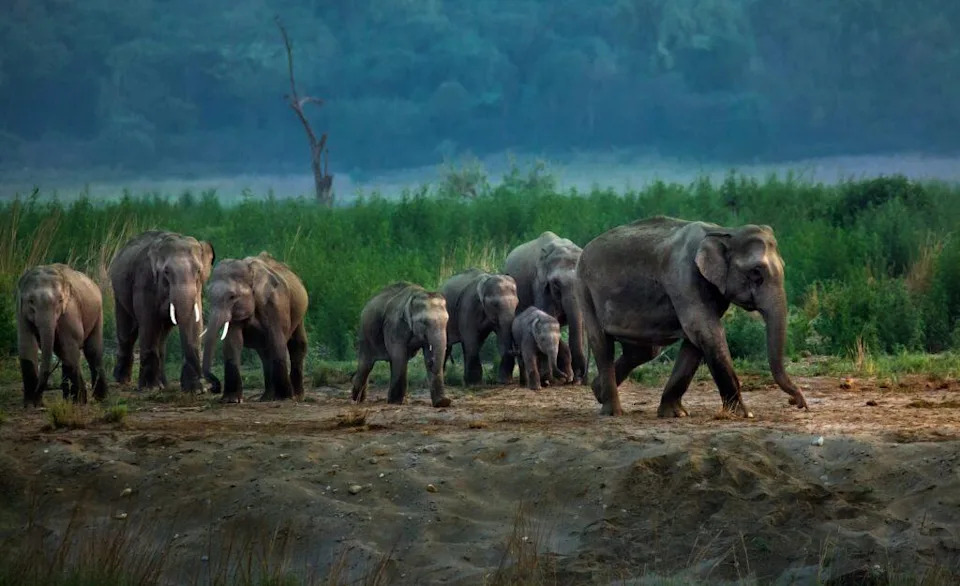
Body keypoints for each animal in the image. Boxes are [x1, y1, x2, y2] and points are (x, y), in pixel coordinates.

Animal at [16, 264, 107, 407]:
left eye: (60, 300)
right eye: (31, 301)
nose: (39, 399)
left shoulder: (70, 309)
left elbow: (70, 345)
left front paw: (80, 401)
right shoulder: (21, 312)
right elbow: (27, 346)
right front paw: (31, 404)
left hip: (98, 312)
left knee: (92, 350)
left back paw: (99, 398)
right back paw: (67, 399)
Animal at [109, 230, 215, 392]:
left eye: (198, 271)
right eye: (166, 271)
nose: (203, 385)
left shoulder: (197, 289)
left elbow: (193, 323)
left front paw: (195, 390)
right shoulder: (144, 281)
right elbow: (149, 323)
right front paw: (150, 388)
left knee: (162, 338)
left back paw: (164, 383)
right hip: (119, 292)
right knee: (127, 332)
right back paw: (123, 380)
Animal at [201, 252, 309, 403]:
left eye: (232, 296)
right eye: (209, 296)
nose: (214, 388)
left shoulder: (276, 304)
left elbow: (277, 341)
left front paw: (285, 398)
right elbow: (233, 343)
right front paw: (231, 400)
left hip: (299, 310)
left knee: (296, 345)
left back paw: (296, 396)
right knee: (265, 353)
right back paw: (267, 398)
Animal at [504, 231, 585, 384]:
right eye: (556, 284)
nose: (579, 377)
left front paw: (570, 378)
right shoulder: (539, 285)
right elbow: (548, 315)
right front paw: (553, 379)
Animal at [575, 215, 808, 417]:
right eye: (756, 272)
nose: (798, 403)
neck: (725, 232)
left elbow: (697, 340)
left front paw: (675, 414)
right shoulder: (684, 276)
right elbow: (705, 331)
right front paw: (744, 415)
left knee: (644, 351)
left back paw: (597, 391)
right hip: (585, 289)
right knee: (602, 344)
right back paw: (613, 412)